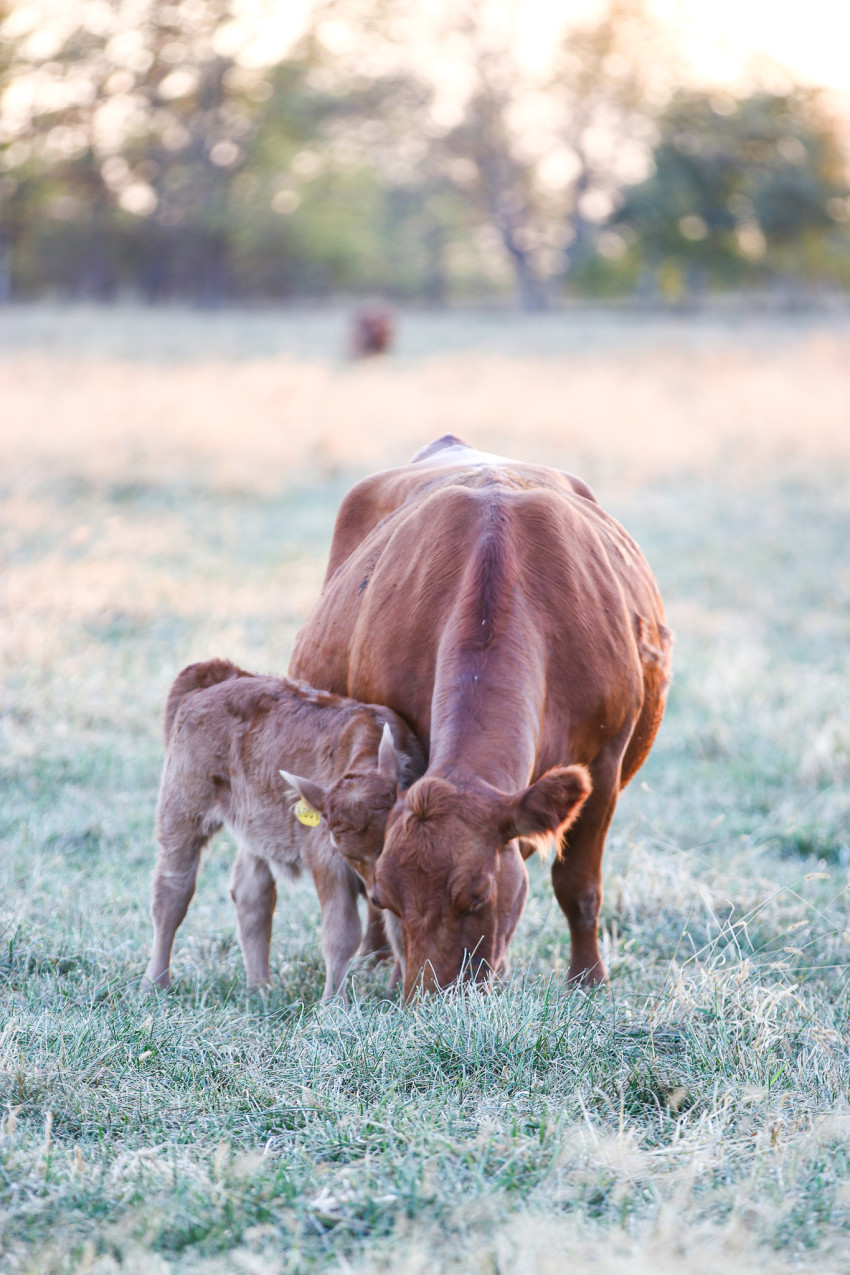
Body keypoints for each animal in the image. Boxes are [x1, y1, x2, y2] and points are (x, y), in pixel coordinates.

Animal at [146, 663, 428, 999]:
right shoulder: (328, 861)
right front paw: (332, 1002)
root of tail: (217, 679)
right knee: (172, 892)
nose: (377, 895)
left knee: (252, 895)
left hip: (254, 825)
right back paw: (155, 982)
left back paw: (260, 987)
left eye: (389, 838)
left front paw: (404, 994)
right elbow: (341, 933)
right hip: (182, 810)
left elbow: (400, 931)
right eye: (346, 852)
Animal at [289, 433, 672, 999]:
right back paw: (377, 958)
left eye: (477, 896)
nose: (429, 1002)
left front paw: (588, 981)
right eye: (388, 897)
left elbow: (578, 887)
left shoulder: (603, 767)